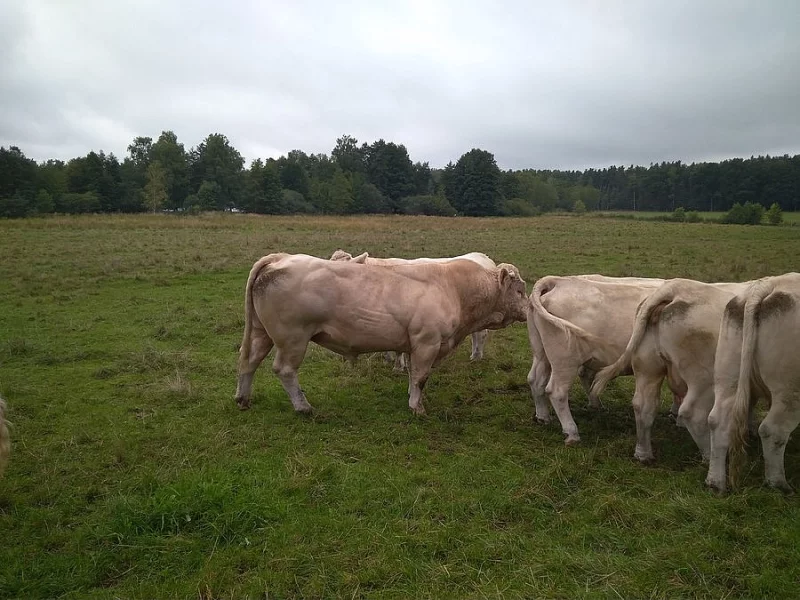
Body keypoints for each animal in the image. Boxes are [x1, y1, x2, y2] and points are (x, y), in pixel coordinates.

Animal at [528, 274, 664, 442]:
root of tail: (559, 281)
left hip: (541, 353)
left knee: (535, 379)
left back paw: (543, 417)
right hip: (565, 360)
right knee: (556, 391)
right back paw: (571, 432)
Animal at [588, 278, 752, 462]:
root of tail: (675, 287)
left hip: (648, 367)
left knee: (643, 406)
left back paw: (643, 454)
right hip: (704, 378)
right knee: (694, 414)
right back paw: (711, 456)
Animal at [708, 272, 800, 492]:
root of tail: (770, 284)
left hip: (728, 377)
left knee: (717, 420)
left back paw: (715, 483)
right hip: (790, 389)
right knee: (772, 430)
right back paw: (778, 484)